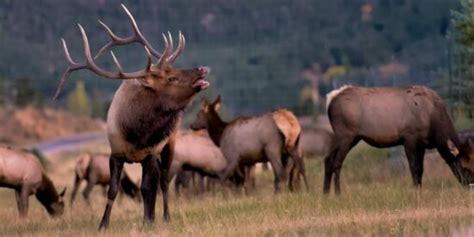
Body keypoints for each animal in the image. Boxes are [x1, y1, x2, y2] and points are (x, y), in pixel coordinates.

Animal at [55, 4, 209, 230]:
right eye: (171, 77)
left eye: (174, 69)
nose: (202, 69)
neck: (137, 134)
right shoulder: (115, 153)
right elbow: (113, 190)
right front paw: (103, 224)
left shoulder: (150, 153)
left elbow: (146, 188)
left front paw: (148, 220)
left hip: (170, 144)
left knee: (163, 181)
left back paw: (165, 216)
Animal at [324, 85, 474, 194]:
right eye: (464, 167)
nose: (471, 186)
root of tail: (330, 100)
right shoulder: (409, 137)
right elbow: (414, 167)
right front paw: (415, 191)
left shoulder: (422, 144)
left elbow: (421, 169)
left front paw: (419, 190)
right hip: (345, 134)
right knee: (337, 162)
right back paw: (338, 193)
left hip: (352, 138)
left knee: (328, 159)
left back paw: (325, 193)